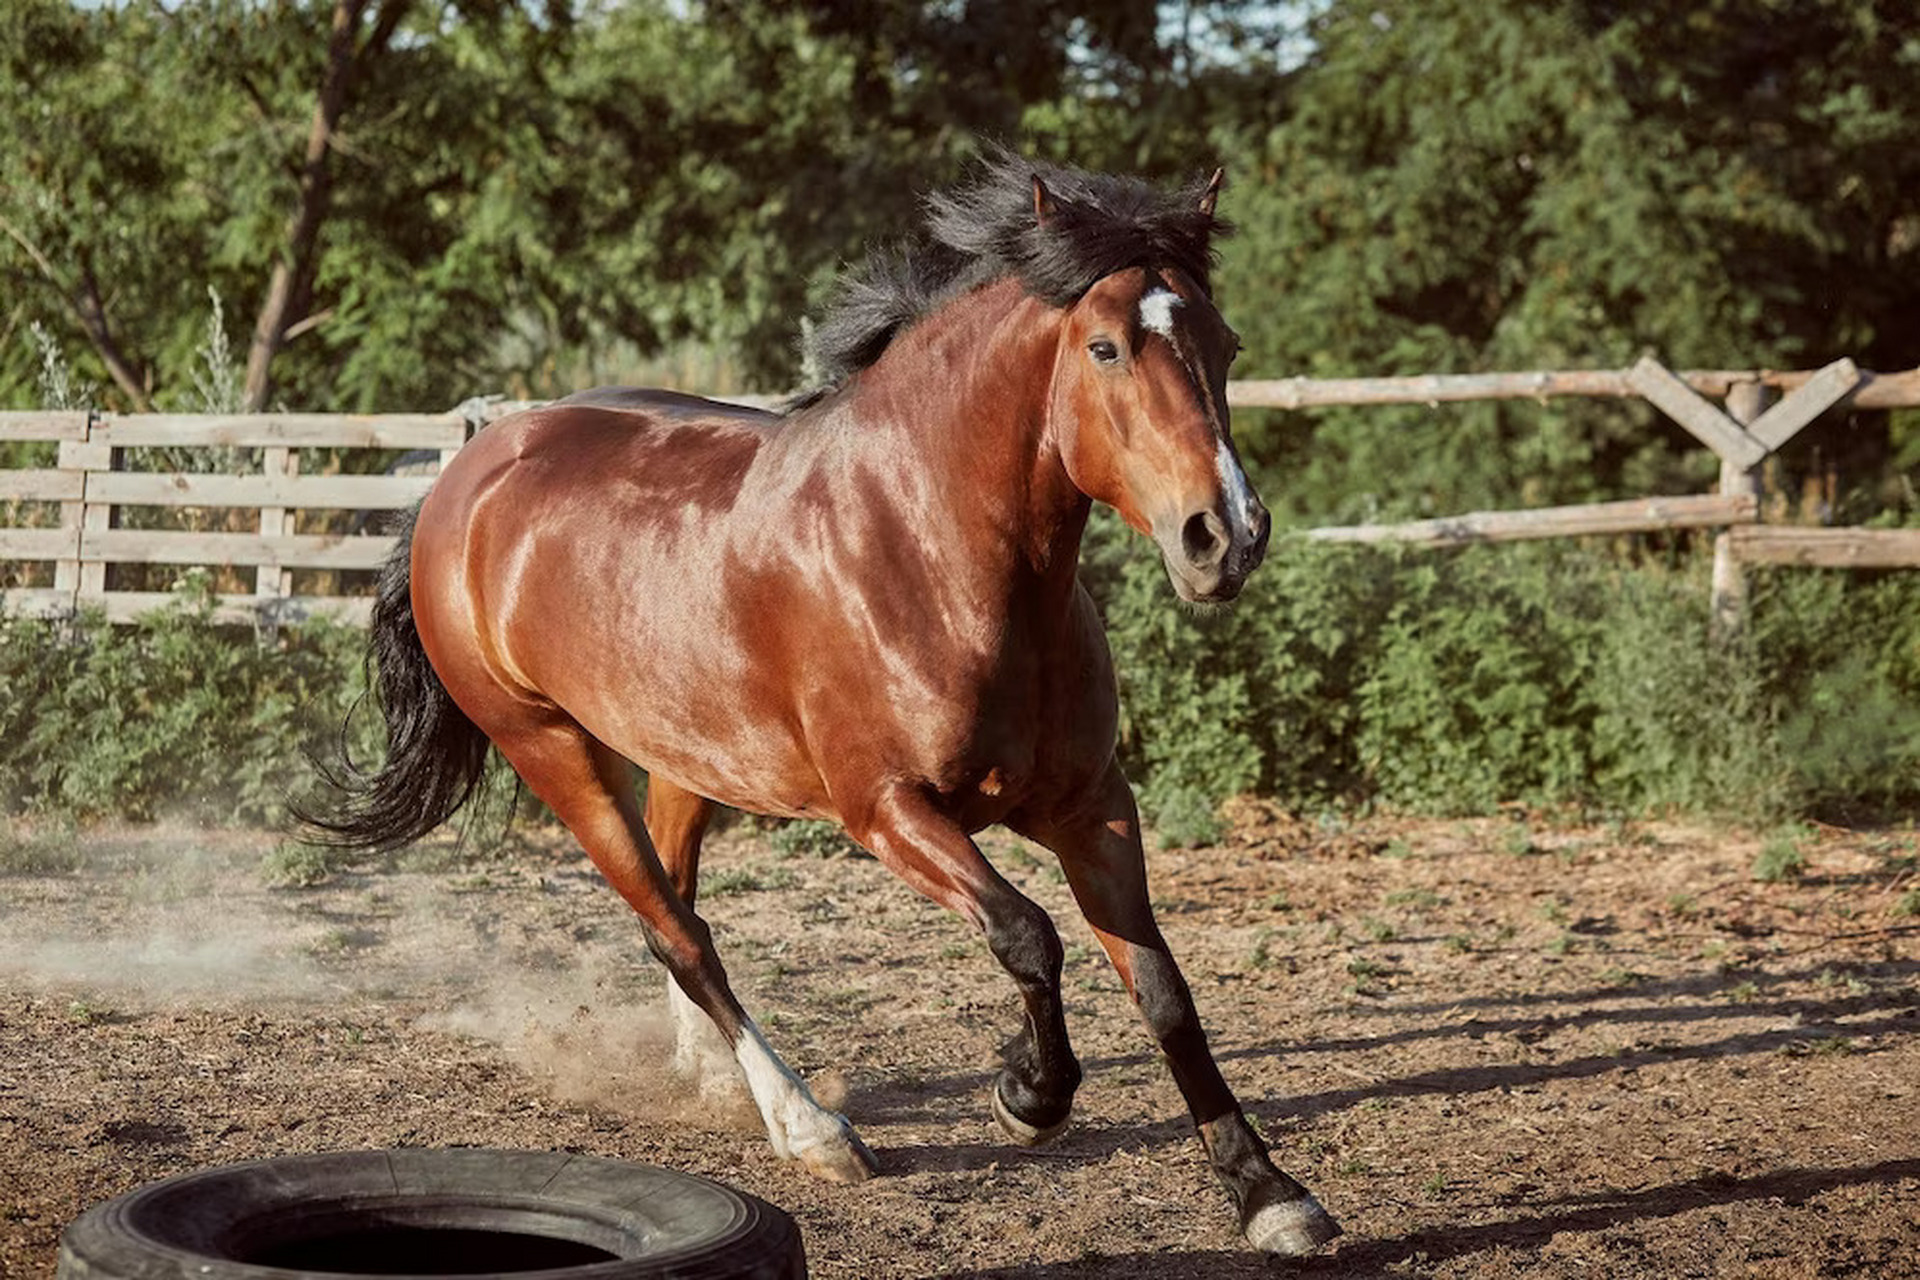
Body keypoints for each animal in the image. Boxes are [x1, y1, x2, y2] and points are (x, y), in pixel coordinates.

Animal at [307, 155, 1344, 1258]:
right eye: (1106, 346)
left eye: (1223, 344)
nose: (1224, 536)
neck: (929, 549)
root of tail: (467, 475)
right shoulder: (888, 810)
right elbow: (1028, 934)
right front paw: (1028, 1097)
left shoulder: (1091, 805)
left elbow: (1164, 989)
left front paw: (1269, 1194)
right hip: (551, 750)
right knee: (680, 935)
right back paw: (810, 1128)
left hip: (683, 755)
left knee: (676, 912)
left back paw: (723, 1083)